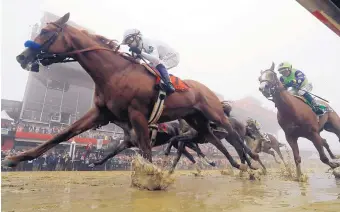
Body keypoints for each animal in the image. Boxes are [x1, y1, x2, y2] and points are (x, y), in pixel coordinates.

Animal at [5, 12, 258, 171]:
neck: (115, 72)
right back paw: (238, 164)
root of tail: (209, 90)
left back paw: (252, 161)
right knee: (216, 141)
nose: (21, 57)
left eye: (46, 32)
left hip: (215, 114)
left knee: (234, 137)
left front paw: (152, 178)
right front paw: (16, 158)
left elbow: (146, 149)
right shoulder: (101, 113)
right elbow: (62, 134)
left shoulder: (137, 115)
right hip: (196, 120)